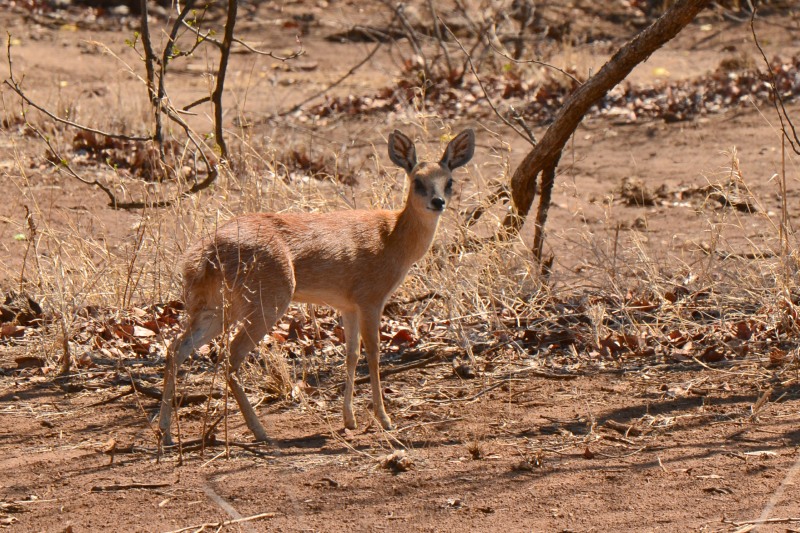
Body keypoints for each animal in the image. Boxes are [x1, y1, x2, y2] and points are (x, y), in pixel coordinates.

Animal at [159, 129, 478, 444]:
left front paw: (349, 419)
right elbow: (373, 354)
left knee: (176, 349)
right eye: (417, 181)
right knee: (229, 357)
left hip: (216, 308)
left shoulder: (348, 306)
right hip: (266, 303)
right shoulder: (371, 300)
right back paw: (261, 432)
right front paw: (384, 419)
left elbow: (352, 355)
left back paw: (166, 433)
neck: (392, 238)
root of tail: (201, 256)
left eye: (449, 181)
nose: (438, 202)